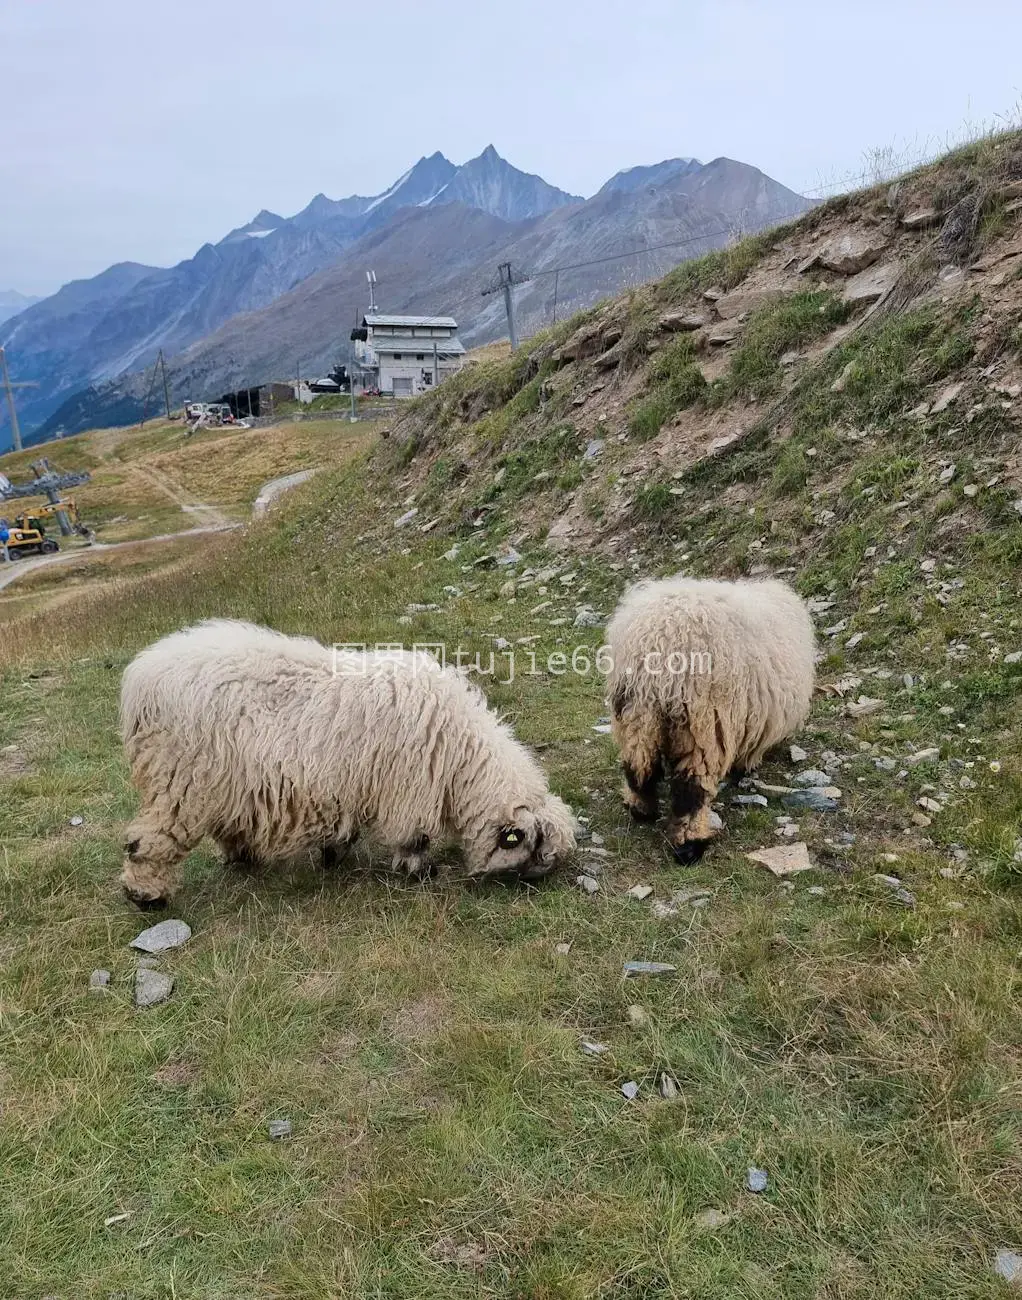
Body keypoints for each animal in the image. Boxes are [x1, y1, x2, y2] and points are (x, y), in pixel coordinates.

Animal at [119, 616, 572, 904]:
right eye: (529, 849)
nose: (529, 888)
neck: (461, 759)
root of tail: (141, 678)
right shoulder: (408, 789)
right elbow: (414, 836)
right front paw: (419, 870)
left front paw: (333, 853)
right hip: (181, 778)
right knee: (147, 839)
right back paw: (146, 895)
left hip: (220, 781)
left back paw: (242, 857)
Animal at [605, 574, 811, 857]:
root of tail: (658, 639)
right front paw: (746, 766)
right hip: (702, 723)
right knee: (691, 790)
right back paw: (690, 844)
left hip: (634, 712)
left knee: (638, 765)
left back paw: (641, 808)